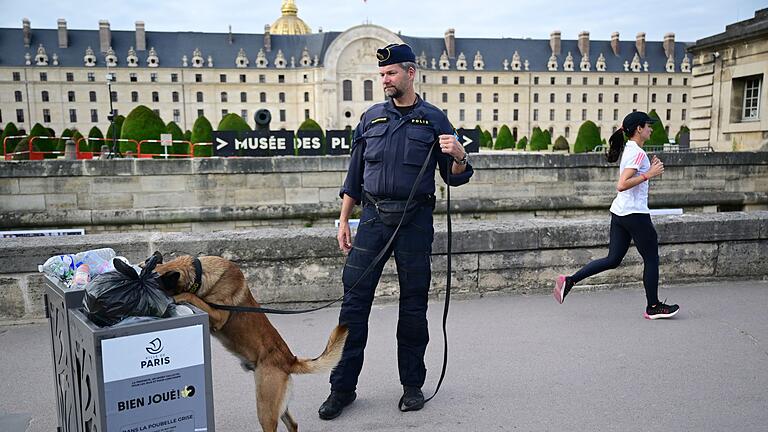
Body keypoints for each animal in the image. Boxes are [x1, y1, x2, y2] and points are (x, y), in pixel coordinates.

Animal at [150, 253, 348, 432]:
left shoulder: (218, 315)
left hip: (265, 408)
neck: (200, 273)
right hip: (273, 403)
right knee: (293, 424)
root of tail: (289, 359)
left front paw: (178, 298)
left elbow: (193, 297)